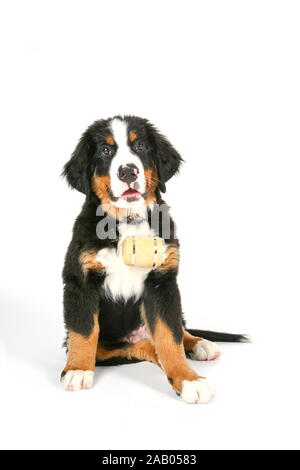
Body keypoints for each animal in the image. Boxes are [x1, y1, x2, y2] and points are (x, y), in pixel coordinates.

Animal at [60, 115, 246, 402]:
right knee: (138, 346)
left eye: (140, 147)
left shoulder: (162, 284)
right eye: (105, 150)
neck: (129, 221)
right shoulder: (80, 281)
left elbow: (170, 337)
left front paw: (188, 379)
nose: (128, 171)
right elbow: (84, 331)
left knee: (177, 329)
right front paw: (78, 369)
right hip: (111, 346)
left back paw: (198, 344)